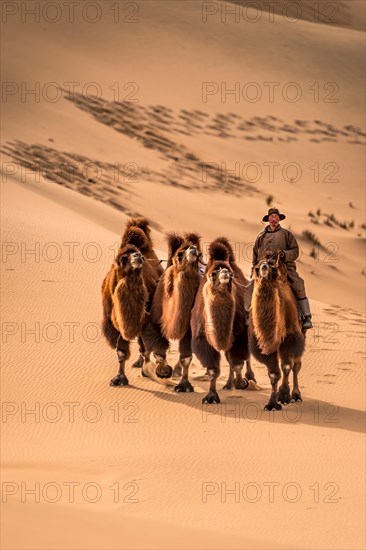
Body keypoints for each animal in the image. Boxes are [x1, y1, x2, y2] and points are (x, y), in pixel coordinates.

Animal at [101, 219, 162, 388]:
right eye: (123, 258)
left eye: (136, 255)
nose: (138, 255)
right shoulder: (114, 324)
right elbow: (121, 352)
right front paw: (119, 378)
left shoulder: (145, 319)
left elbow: (148, 345)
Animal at [142, 233, 202, 384]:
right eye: (180, 254)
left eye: (199, 254)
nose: (193, 249)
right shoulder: (154, 321)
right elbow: (158, 351)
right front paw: (162, 372)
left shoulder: (189, 330)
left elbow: (186, 358)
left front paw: (184, 384)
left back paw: (176, 370)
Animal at [187, 238, 256, 406]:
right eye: (213, 273)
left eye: (230, 274)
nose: (224, 273)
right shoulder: (202, 338)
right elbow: (213, 369)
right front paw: (211, 396)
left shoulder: (239, 335)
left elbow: (237, 363)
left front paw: (241, 383)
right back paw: (228, 384)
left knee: (242, 358)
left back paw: (249, 378)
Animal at [249, 254, 306, 410]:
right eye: (257, 267)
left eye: (271, 267)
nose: (264, 267)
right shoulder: (264, 345)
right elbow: (274, 374)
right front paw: (272, 404)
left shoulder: (291, 337)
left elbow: (287, 366)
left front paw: (284, 396)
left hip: (302, 334)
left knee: (296, 365)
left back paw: (296, 395)